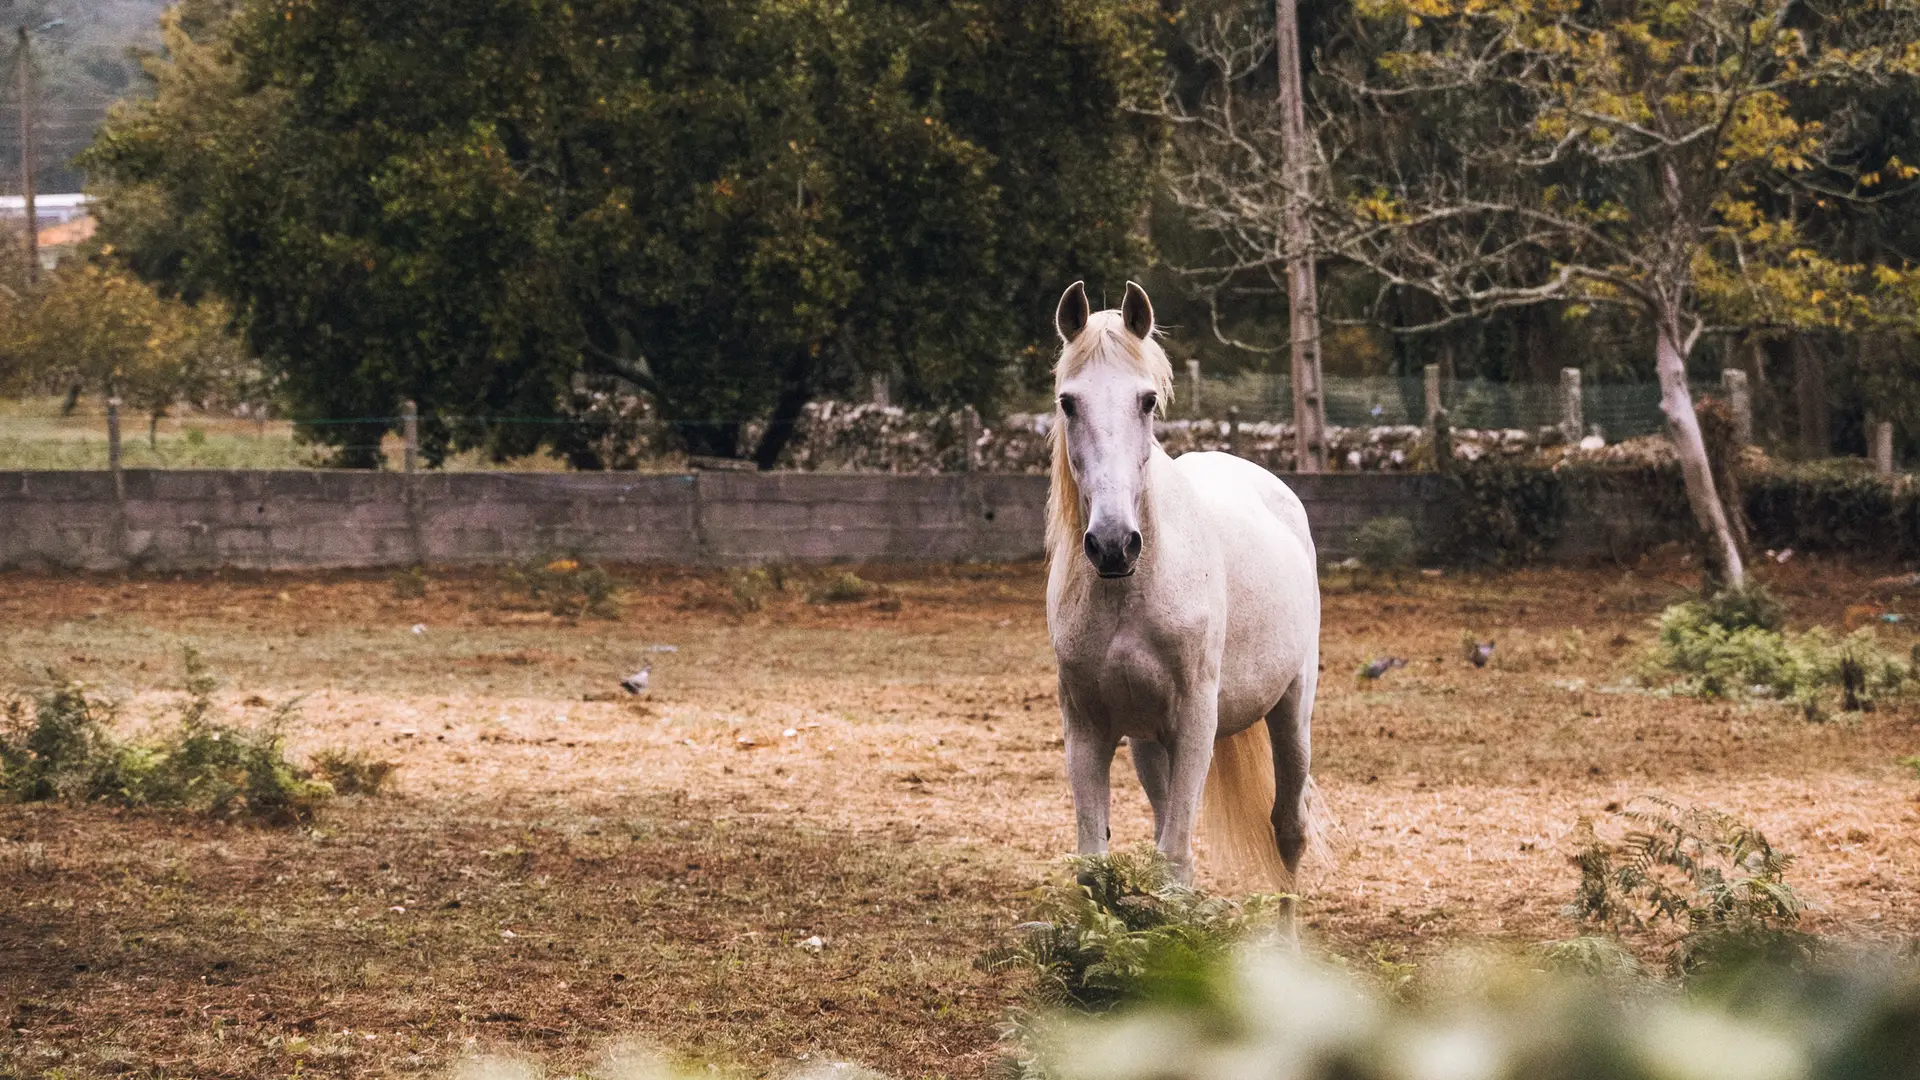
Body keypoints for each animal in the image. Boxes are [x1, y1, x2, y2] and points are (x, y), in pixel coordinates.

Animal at [1045, 280, 1322, 889]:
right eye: (1068, 401)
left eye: (1147, 401)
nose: (1113, 544)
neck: (1129, 594)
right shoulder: (1088, 729)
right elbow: (1096, 865)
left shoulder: (1196, 722)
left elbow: (1175, 860)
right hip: (1150, 746)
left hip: (1292, 708)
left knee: (1289, 829)